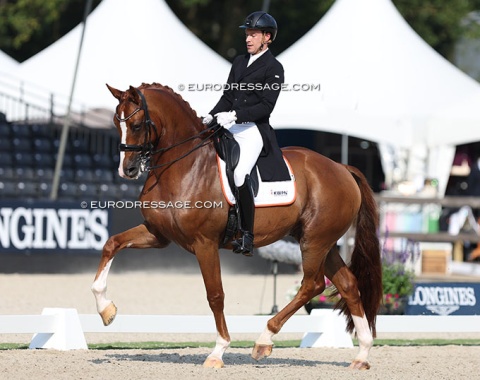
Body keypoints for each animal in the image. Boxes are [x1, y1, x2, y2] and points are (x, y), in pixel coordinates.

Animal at [91, 82, 382, 368]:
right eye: (116, 123)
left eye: (137, 124)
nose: (127, 170)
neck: (186, 166)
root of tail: (342, 167)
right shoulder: (158, 235)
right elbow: (111, 244)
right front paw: (106, 310)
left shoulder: (204, 243)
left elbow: (215, 295)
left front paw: (218, 351)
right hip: (324, 243)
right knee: (348, 284)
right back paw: (362, 354)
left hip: (314, 241)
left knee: (313, 285)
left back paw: (263, 341)